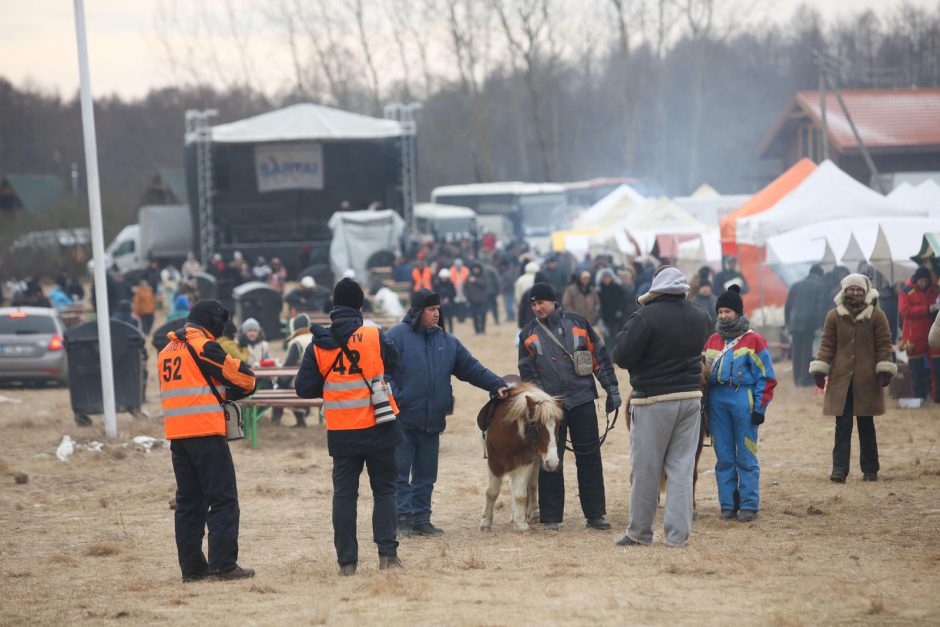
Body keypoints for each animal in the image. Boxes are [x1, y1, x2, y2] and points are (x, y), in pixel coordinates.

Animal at [482, 386, 560, 532]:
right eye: (537, 427)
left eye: (558, 427)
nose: (552, 463)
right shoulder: (494, 463)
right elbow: (492, 492)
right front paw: (485, 522)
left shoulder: (525, 463)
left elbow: (520, 495)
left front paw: (521, 524)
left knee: (532, 486)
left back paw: (532, 513)